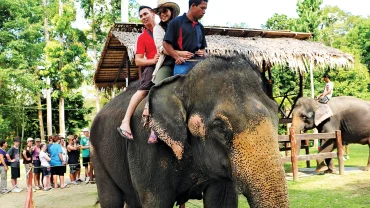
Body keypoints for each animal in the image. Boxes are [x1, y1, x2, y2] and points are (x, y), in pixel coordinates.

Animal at [89, 55, 290, 208]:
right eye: (220, 127)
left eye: (276, 112)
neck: (182, 82)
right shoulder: (145, 146)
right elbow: (155, 202)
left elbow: (221, 201)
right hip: (96, 154)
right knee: (110, 199)